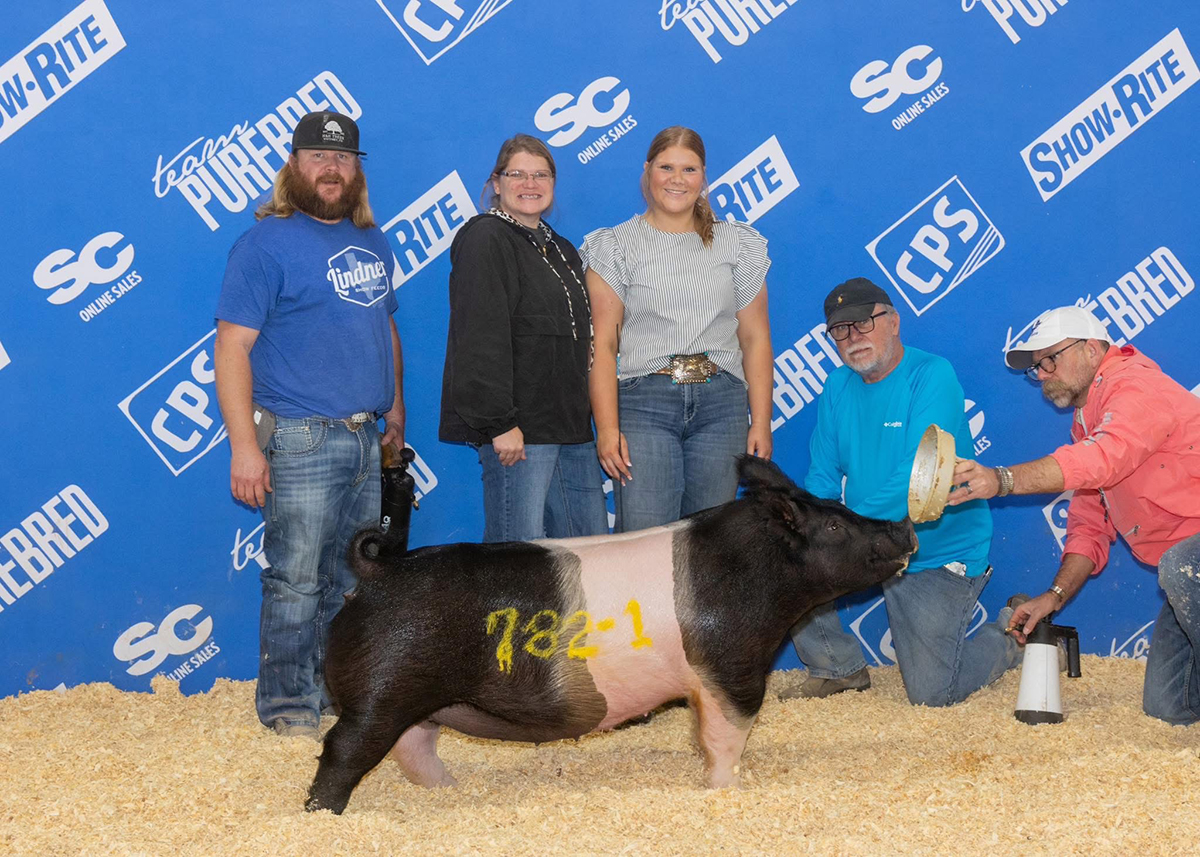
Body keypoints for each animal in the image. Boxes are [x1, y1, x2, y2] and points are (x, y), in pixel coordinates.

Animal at [306, 456, 916, 814]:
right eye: (833, 526)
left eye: (838, 505)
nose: (905, 526)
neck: (760, 578)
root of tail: (377, 573)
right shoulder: (730, 668)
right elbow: (727, 734)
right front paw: (727, 791)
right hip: (381, 690)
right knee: (344, 749)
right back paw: (323, 815)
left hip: (416, 698)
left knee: (414, 747)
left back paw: (450, 789)